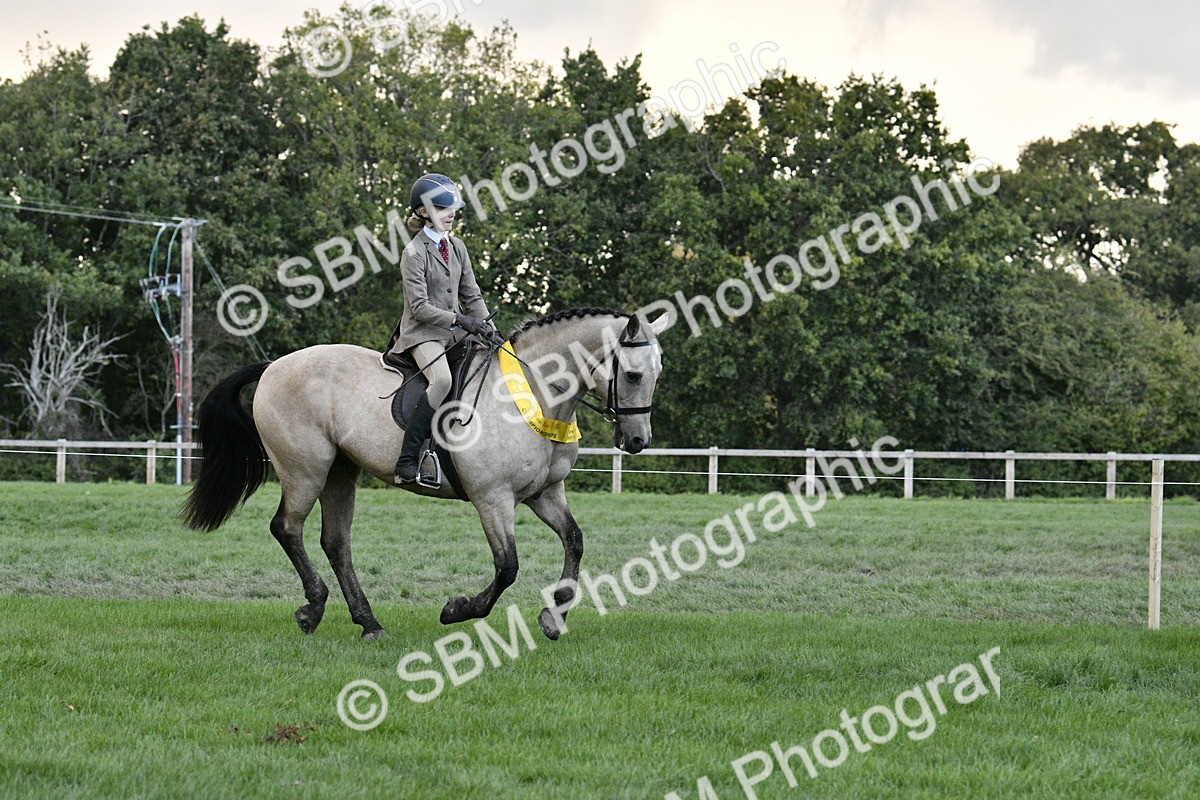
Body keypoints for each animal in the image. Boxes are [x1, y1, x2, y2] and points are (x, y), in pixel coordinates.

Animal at [181, 308, 669, 641]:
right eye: (632, 374)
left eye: (656, 374)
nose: (637, 441)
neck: (532, 394)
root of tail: (273, 367)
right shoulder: (492, 498)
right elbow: (507, 567)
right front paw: (456, 609)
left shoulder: (545, 493)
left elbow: (575, 541)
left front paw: (553, 618)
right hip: (306, 471)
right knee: (286, 528)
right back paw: (312, 610)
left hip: (341, 472)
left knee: (335, 543)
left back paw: (369, 622)